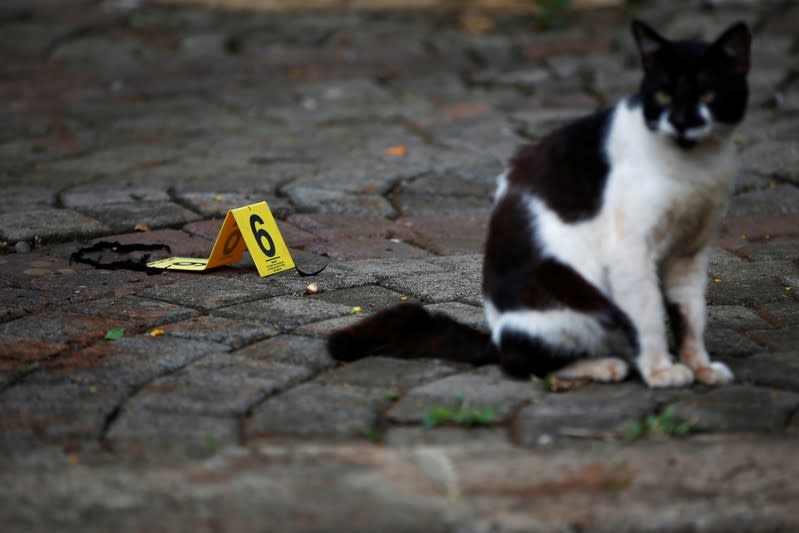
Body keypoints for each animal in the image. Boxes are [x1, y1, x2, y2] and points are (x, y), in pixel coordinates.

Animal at [324, 19, 752, 386]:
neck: (693, 167)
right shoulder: (630, 252)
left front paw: (699, 367)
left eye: (709, 94)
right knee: (522, 363)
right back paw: (602, 366)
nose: (681, 121)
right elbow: (648, 316)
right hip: (571, 299)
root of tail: (495, 336)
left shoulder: (690, 252)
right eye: (663, 93)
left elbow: (691, 316)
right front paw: (661, 372)